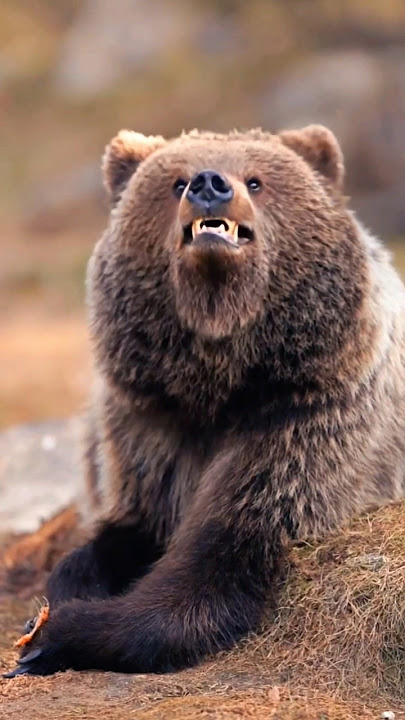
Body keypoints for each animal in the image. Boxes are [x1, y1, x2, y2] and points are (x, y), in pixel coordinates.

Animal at [4, 124, 405, 677]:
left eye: (256, 180)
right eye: (175, 181)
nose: (209, 184)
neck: (224, 380)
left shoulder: (310, 419)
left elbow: (217, 563)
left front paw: (59, 635)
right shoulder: (151, 425)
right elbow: (129, 528)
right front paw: (60, 595)